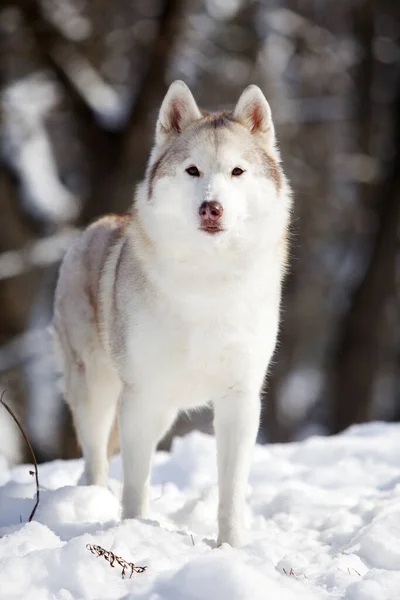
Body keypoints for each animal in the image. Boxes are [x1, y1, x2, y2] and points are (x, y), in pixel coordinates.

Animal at [52, 81, 290, 548]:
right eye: (193, 171)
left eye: (237, 172)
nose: (211, 208)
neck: (208, 284)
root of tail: (94, 226)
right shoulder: (139, 394)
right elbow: (134, 482)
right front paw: (132, 532)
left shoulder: (240, 398)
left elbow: (231, 489)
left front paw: (230, 548)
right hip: (100, 392)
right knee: (97, 462)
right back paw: (92, 504)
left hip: (161, 411)